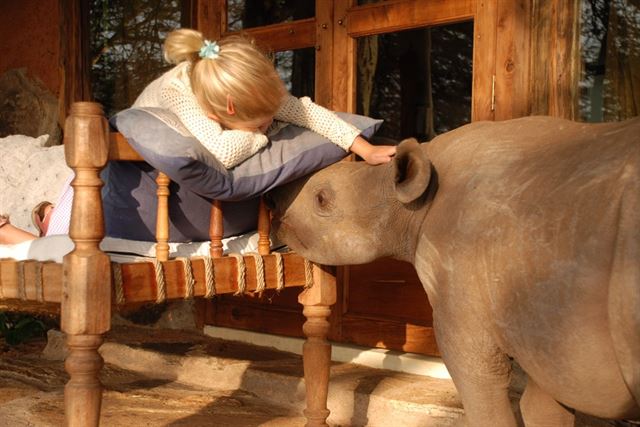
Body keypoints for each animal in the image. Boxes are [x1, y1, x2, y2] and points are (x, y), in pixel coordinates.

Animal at [268, 115, 640, 426]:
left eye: (321, 200)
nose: (276, 214)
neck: (414, 202)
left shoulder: (462, 289)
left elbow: (481, 388)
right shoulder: (543, 328)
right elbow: (543, 405)